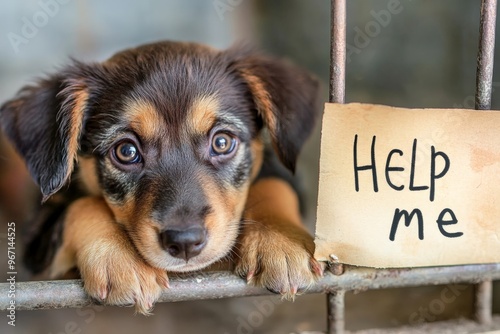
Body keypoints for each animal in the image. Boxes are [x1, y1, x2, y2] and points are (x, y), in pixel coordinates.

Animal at [0, 41, 322, 314]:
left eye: (222, 142)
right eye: (126, 151)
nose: (185, 242)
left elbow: (274, 185)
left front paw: (281, 242)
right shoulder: (36, 242)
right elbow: (83, 206)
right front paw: (120, 259)